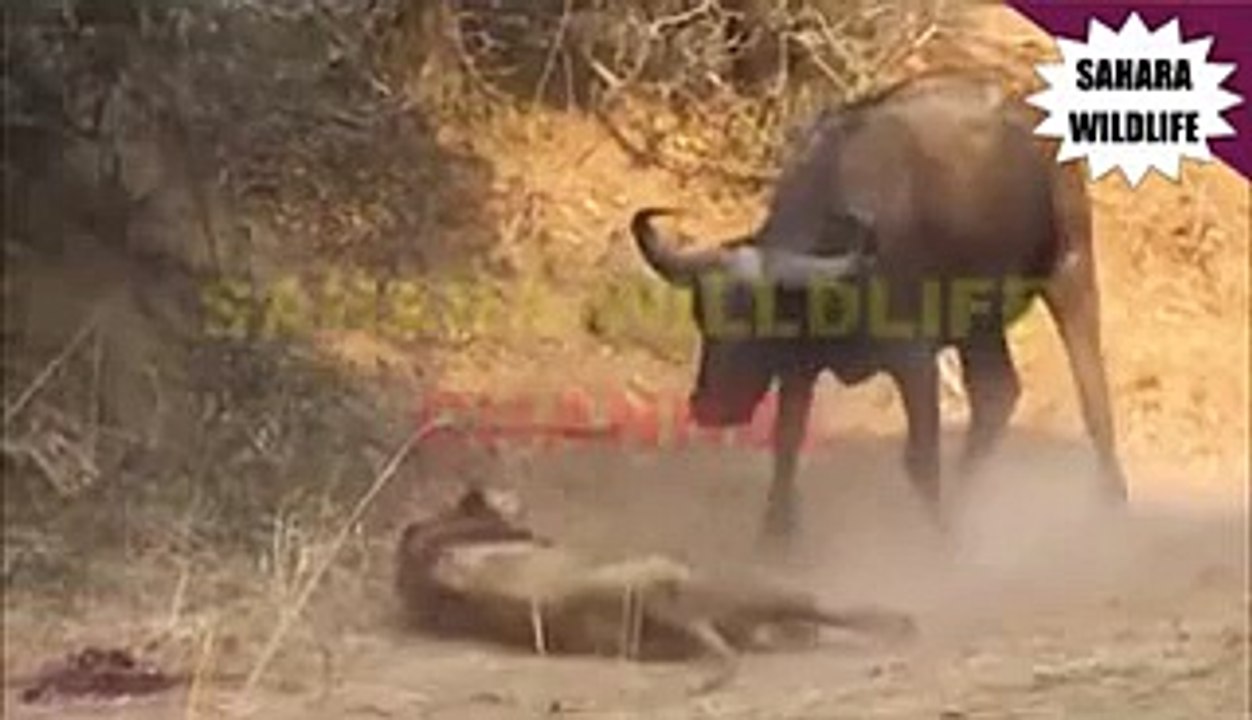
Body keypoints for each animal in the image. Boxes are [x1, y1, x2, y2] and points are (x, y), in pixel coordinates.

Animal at [630, 72, 1129, 545]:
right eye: (702, 317)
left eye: (763, 326)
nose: (711, 407)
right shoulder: (800, 366)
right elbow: (787, 441)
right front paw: (776, 536)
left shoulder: (915, 361)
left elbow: (920, 459)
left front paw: (939, 542)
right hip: (979, 325)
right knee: (996, 395)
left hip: (1070, 269)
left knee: (1091, 386)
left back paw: (1111, 498)